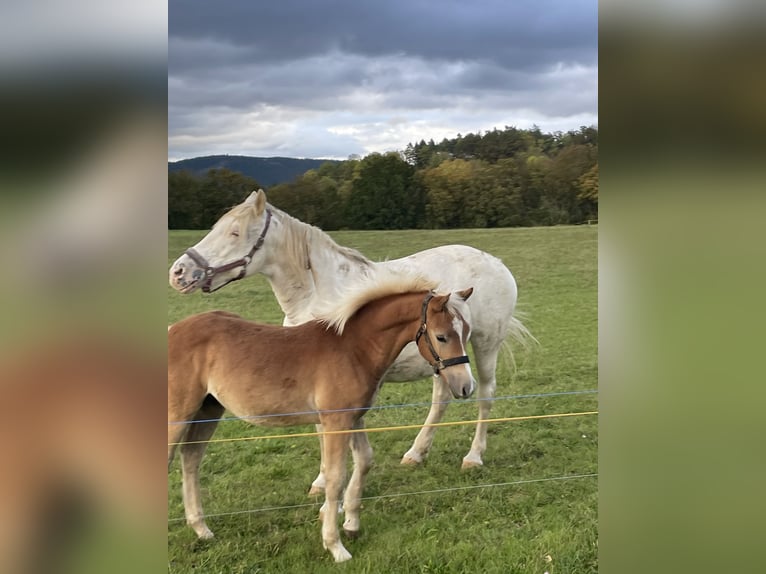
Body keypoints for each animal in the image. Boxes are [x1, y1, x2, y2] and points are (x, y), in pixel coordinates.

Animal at [171, 190, 536, 496]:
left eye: (235, 233)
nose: (178, 272)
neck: (318, 294)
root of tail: (496, 262)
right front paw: (322, 482)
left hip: (484, 346)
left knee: (485, 396)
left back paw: (473, 457)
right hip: (443, 362)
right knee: (441, 399)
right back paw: (416, 453)